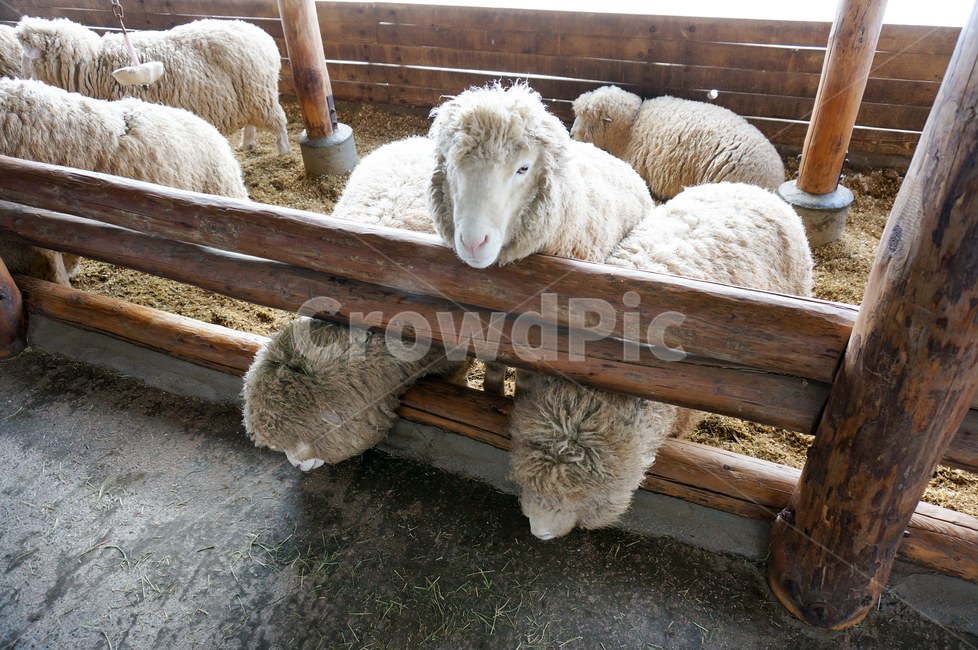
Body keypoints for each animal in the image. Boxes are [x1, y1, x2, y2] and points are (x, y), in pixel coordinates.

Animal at [16, 17, 289, 155]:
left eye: (26, 56)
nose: (20, 77)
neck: (93, 61)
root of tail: (262, 35)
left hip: (259, 91)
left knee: (279, 121)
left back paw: (284, 151)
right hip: (248, 94)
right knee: (252, 120)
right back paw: (247, 143)